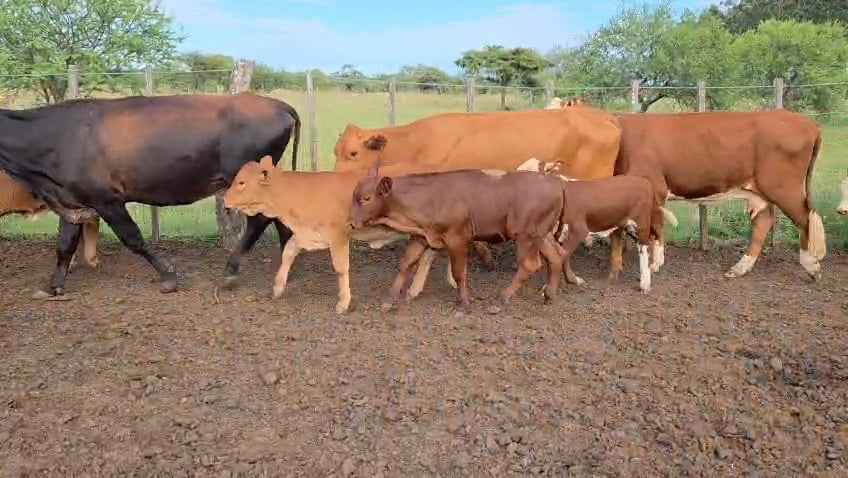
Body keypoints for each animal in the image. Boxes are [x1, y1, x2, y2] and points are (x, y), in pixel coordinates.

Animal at [0, 92, 300, 299]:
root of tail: (277, 104)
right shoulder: (71, 199)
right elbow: (64, 244)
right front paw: (53, 287)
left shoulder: (106, 199)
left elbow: (132, 238)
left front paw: (168, 276)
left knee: (260, 221)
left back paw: (231, 270)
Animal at [349, 168, 567, 308]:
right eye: (354, 197)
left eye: (366, 198)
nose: (351, 223)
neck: (429, 197)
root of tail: (555, 182)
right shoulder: (420, 236)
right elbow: (405, 263)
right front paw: (391, 297)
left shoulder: (457, 239)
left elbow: (459, 272)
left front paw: (464, 300)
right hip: (542, 235)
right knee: (556, 257)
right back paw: (550, 295)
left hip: (526, 236)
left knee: (530, 264)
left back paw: (503, 296)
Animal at [615, 109, 827, 280]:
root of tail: (809, 124)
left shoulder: (654, 187)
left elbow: (654, 229)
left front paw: (653, 265)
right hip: (760, 192)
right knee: (764, 222)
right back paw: (739, 268)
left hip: (783, 187)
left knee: (805, 219)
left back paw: (812, 266)